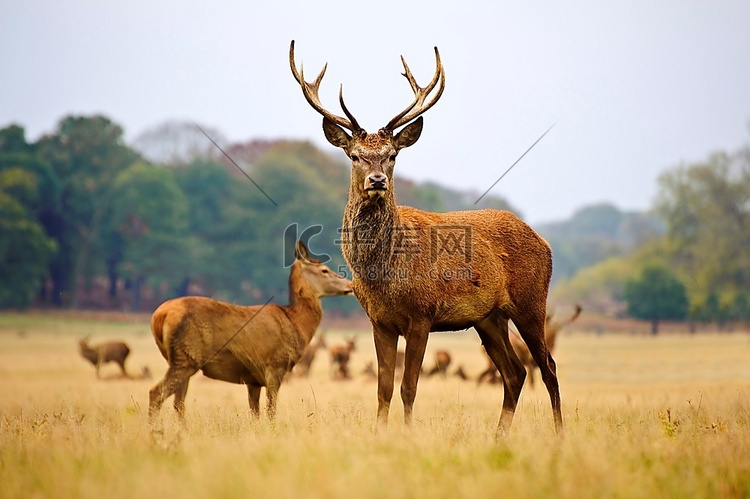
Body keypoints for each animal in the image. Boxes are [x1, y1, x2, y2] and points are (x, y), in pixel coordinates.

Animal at [151, 240, 356, 424]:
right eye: (324, 270)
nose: (351, 285)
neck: (296, 322)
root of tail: (159, 317)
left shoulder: (253, 379)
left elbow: (255, 414)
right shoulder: (275, 365)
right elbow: (271, 411)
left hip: (179, 359)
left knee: (178, 403)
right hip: (186, 357)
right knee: (156, 394)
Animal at [294, 41, 564, 436]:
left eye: (392, 155)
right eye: (355, 155)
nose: (377, 180)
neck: (384, 273)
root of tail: (544, 243)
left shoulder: (422, 314)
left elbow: (409, 387)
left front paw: (407, 434)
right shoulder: (379, 321)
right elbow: (383, 388)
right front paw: (381, 433)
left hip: (531, 302)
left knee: (548, 367)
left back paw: (559, 434)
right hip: (488, 318)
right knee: (514, 373)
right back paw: (498, 436)